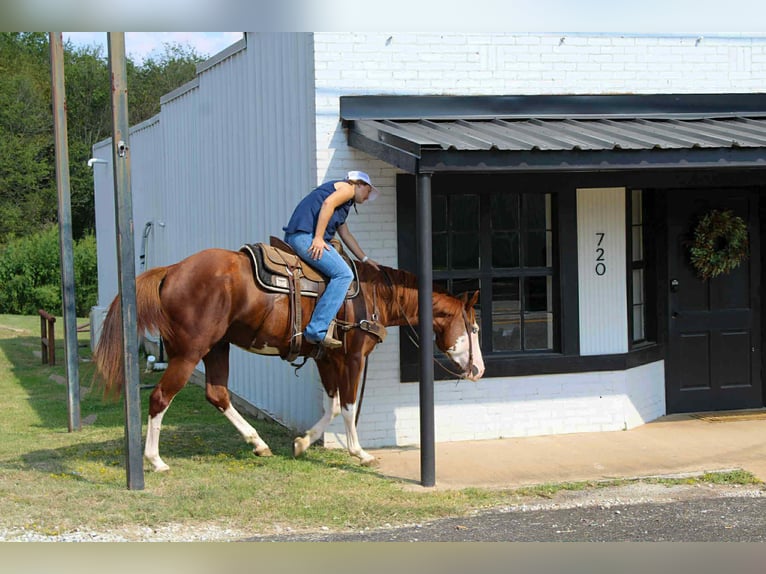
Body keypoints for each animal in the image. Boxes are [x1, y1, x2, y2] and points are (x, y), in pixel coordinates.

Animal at [93, 246, 485, 471]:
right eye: (475, 326)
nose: (479, 369)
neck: (372, 295)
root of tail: (171, 271)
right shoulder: (353, 357)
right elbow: (348, 406)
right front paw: (359, 453)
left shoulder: (326, 358)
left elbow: (332, 407)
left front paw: (302, 443)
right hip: (189, 352)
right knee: (161, 397)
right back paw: (155, 460)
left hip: (217, 348)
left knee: (217, 394)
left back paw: (258, 444)